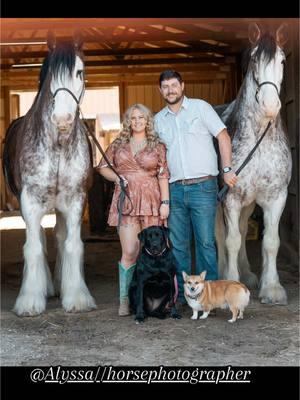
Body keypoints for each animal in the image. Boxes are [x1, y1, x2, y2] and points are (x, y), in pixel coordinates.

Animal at [3, 32, 97, 316]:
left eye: (79, 72)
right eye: (51, 74)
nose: (62, 119)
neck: (57, 146)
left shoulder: (76, 199)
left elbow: (72, 244)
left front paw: (76, 296)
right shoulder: (30, 201)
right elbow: (33, 247)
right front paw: (30, 299)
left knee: (60, 236)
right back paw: (45, 286)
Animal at [217, 23, 292, 304]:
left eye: (282, 60)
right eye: (253, 60)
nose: (270, 105)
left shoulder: (276, 197)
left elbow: (270, 241)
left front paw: (272, 288)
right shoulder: (230, 197)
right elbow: (231, 240)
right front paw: (230, 281)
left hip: (248, 204)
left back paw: (247, 274)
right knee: (220, 235)